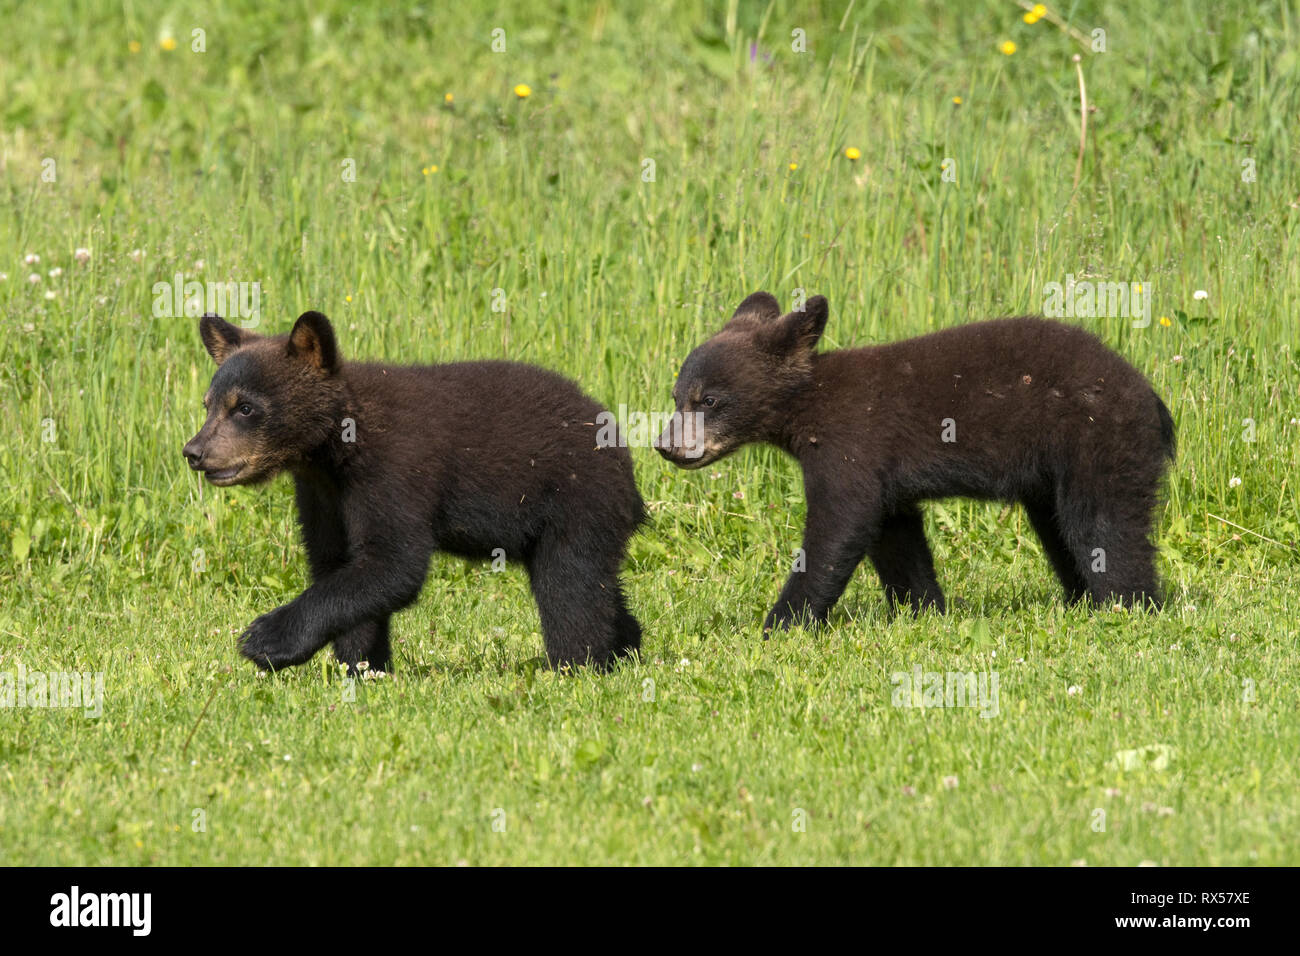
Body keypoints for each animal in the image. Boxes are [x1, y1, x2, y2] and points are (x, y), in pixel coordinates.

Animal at [182, 311, 645, 674]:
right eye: (208, 404)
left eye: (245, 407)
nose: (195, 451)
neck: (337, 447)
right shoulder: (322, 494)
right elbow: (339, 564)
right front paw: (361, 668)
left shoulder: (394, 471)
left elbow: (394, 563)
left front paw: (267, 638)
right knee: (598, 584)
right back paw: (625, 646)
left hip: (576, 500)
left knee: (570, 585)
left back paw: (574, 665)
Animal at [656, 291, 1175, 632]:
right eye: (678, 396)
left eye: (709, 400)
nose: (665, 445)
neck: (809, 404)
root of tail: (1153, 399)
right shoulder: (884, 475)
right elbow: (895, 537)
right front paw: (922, 610)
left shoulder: (851, 444)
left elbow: (838, 526)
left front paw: (782, 624)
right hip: (1053, 475)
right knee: (1061, 529)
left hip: (1097, 441)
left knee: (1104, 527)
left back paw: (1129, 605)